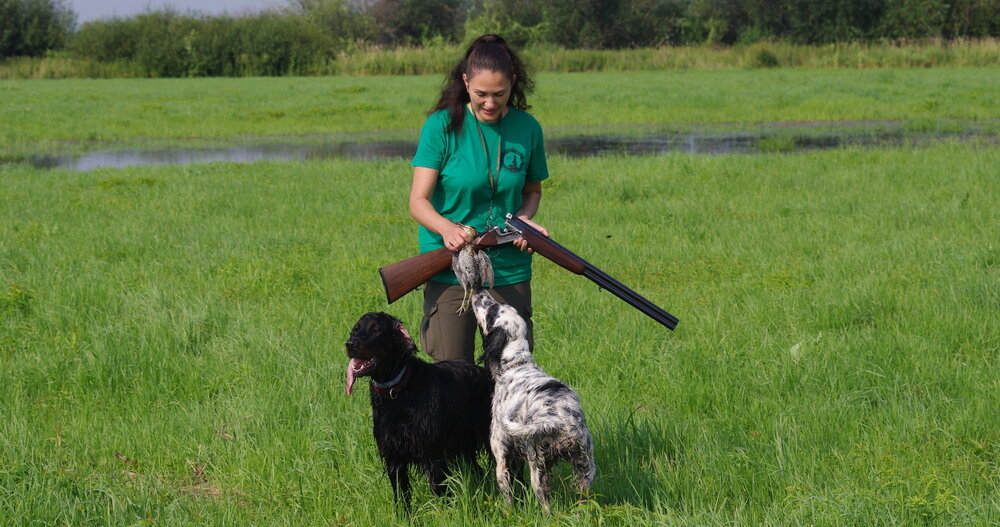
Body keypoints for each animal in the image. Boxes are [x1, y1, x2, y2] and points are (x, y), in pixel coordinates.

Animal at [346, 312, 494, 510]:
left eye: (375, 329)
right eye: (356, 329)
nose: (350, 344)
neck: (399, 391)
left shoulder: (433, 456)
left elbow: (440, 492)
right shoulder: (393, 457)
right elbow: (401, 495)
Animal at [470, 288, 592, 512]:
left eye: (492, 311)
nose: (480, 291)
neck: (517, 364)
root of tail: (561, 420)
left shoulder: (501, 455)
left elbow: (508, 497)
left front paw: (508, 513)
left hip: (538, 469)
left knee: (546, 505)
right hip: (585, 470)